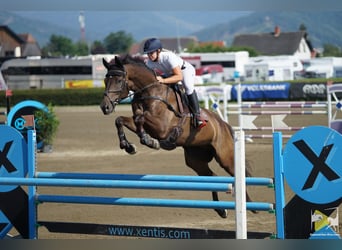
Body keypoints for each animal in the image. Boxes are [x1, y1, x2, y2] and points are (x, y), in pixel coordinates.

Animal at [99, 54, 254, 219]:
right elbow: (121, 120)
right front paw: (128, 146)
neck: (149, 92)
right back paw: (221, 210)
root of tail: (222, 124)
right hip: (195, 160)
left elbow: (140, 119)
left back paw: (250, 205)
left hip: (225, 157)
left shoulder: (162, 127)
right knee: (211, 176)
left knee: (237, 174)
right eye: (105, 81)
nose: (105, 107)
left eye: (119, 81)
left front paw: (149, 141)